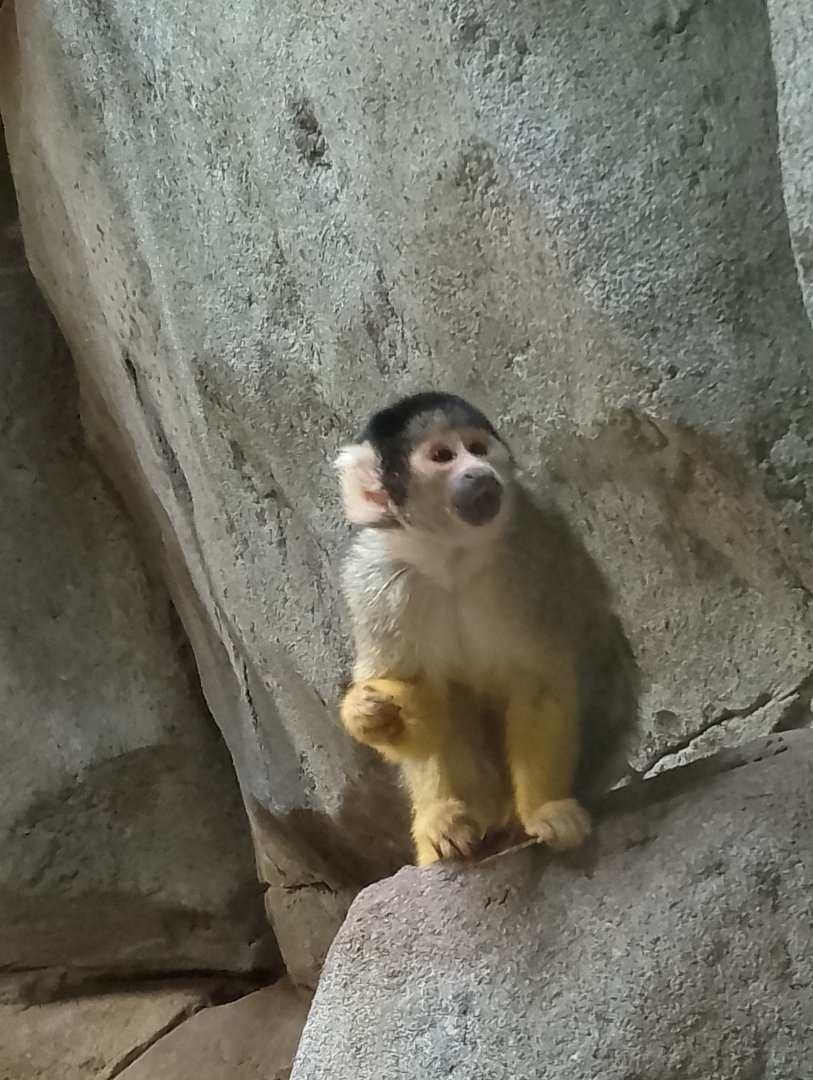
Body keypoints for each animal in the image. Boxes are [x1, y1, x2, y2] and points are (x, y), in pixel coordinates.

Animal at [334, 391, 639, 867]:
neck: (451, 554)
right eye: (442, 456)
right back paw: (445, 823)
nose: (479, 471)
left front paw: (543, 809)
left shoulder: (533, 551)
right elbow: (423, 705)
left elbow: (539, 683)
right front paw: (369, 714)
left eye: (477, 448)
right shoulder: (376, 582)